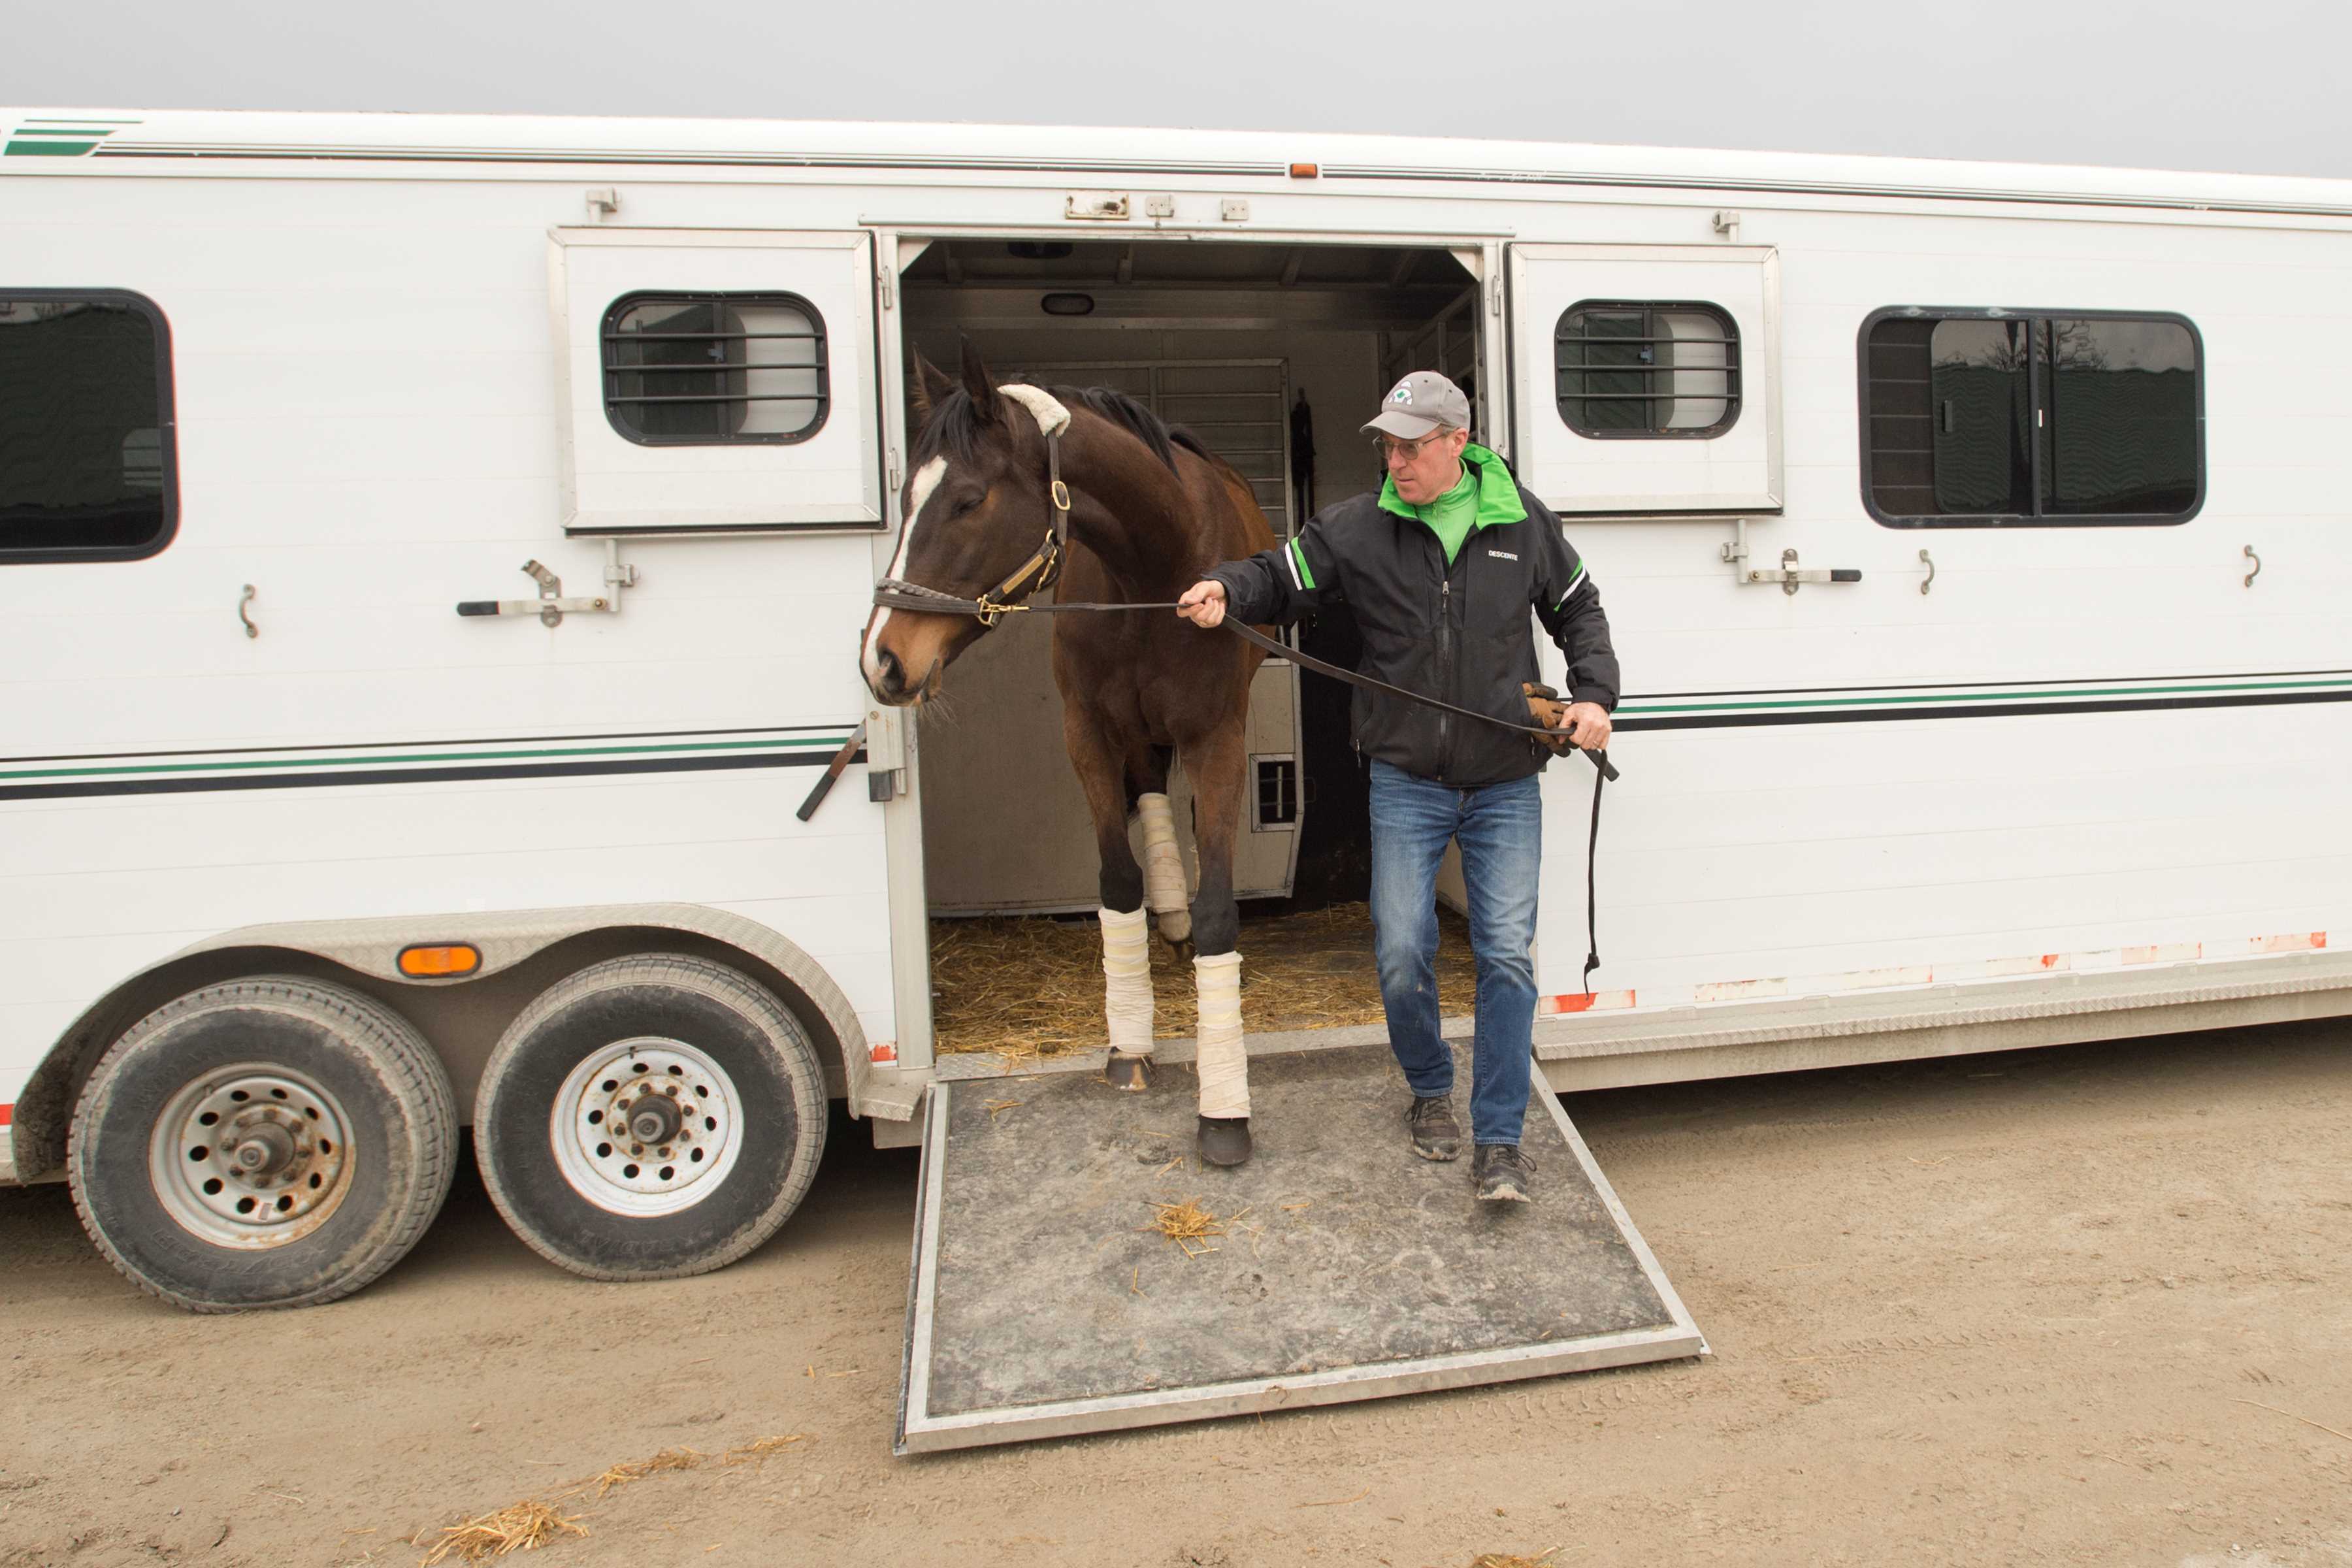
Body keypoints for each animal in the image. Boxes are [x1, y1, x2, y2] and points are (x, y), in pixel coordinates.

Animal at [860, 345, 1279, 1175]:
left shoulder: (1215, 737)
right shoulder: (1085, 730)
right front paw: (1129, 1044)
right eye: (906, 496)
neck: (1154, 572)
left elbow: (1221, 908)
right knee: (1148, 795)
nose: (884, 659)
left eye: (967, 500)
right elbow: (1118, 881)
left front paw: (1224, 1112)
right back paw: (1167, 918)